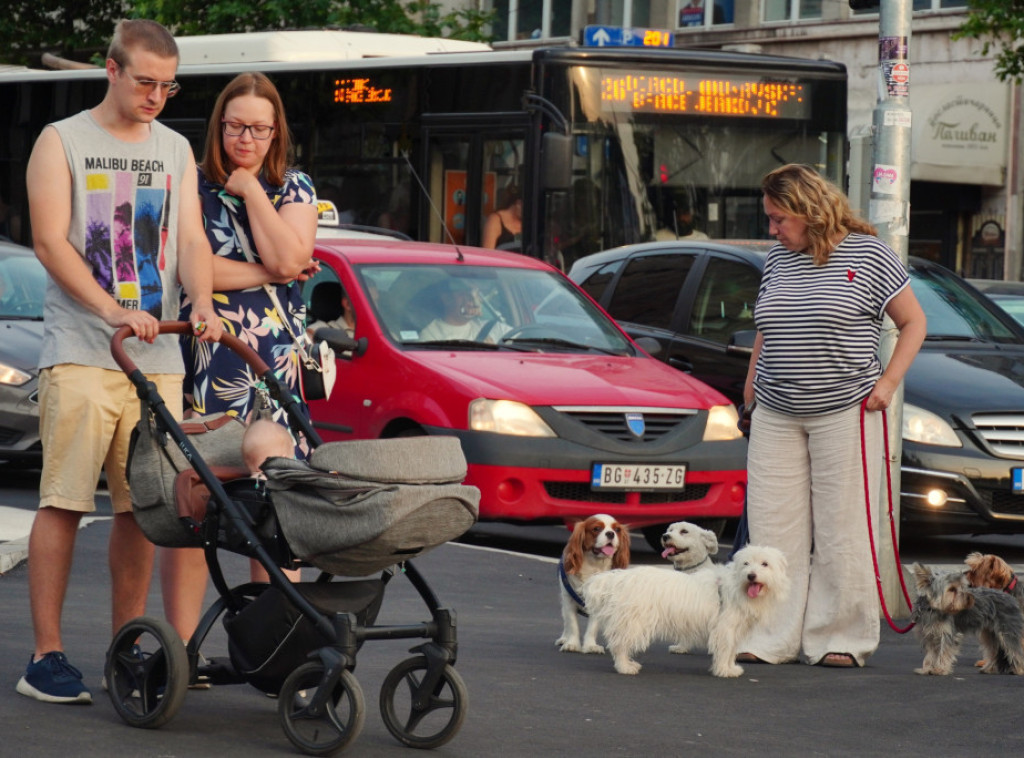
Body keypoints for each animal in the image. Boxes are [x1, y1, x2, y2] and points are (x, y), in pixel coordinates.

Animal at [581, 544, 786, 676]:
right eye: (746, 564)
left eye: (765, 564)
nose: (751, 575)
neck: (738, 585)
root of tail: (620, 578)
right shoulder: (725, 629)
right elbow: (725, 649)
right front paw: (724, 670)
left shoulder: (735, 630)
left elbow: (731, 651)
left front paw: (730, 667)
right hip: (634, 622)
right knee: (620, 645)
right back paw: (625, 667)